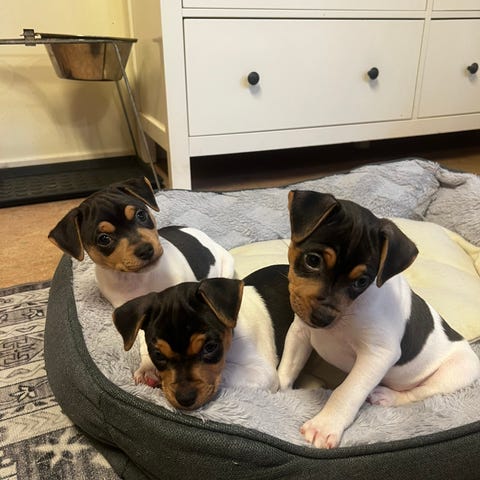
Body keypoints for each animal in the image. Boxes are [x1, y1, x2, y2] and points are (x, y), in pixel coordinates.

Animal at [48, 177, 235, 384]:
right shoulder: (131, 310)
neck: (139, 279)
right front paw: (148, 367)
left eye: (141, 215)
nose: (146, 250)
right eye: (104, 239)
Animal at [113, 264, 293, 410]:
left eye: (210, 347)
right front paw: (148, 369)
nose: (185, 399)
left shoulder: (264, 373)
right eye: (158, 354)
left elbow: (225, 370)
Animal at [277, 190, 480, 449]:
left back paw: (387, 396)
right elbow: (288, 367)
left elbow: (348, 391)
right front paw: (277, 391)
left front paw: (325, 425)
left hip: (454, 373)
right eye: (313, 260)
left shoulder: (378, 354)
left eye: (361, 281)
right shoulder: (300, 332)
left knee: (419, 393)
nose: (322, 318)